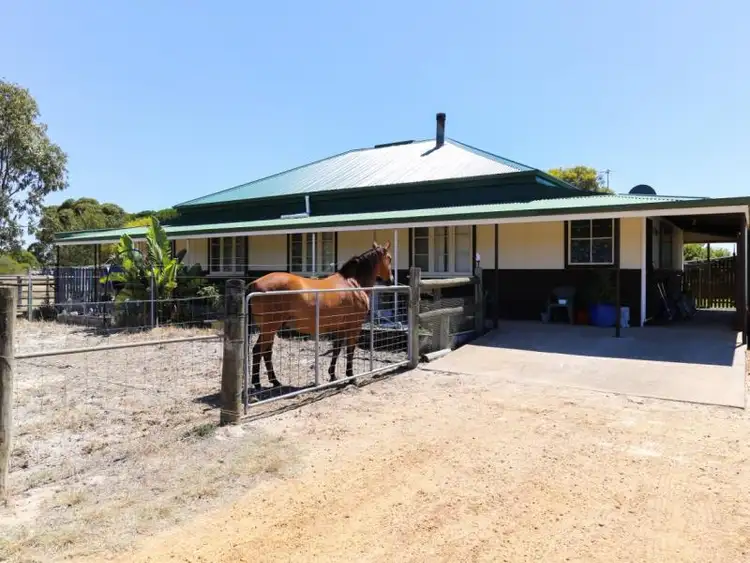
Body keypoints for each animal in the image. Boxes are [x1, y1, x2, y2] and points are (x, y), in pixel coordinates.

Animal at [248, 241, 393, 391]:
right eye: (389, 258)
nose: (391, 280)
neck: (353, 283)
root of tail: (255, 283)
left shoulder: (340, 326)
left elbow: (336, 349)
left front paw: (333, 375)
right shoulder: (354, 325)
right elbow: (350, 350)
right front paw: (351, 377)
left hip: (270, 328)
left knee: (266, 351)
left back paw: (275, 381)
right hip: (269, 327)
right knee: (258, 350)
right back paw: (258, 383)